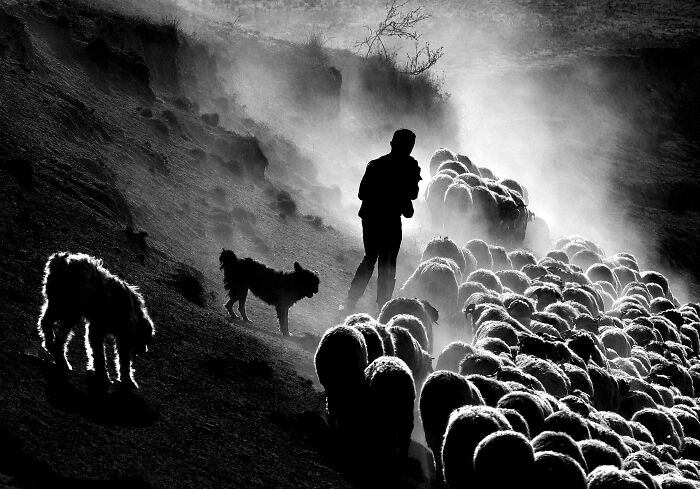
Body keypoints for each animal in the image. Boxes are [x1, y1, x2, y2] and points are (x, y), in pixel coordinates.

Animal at [37, 252, 154, 388]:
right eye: (145, 339)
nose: (145, 350)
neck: (134, 313)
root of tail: (61, 261)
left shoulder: (106, 332)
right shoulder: (101, 331)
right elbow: (104, 356)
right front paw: (106, 376)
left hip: (62, 307)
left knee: (50, 326)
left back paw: (54, 351)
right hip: (69, 309)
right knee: (55, 330)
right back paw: (58, 355)